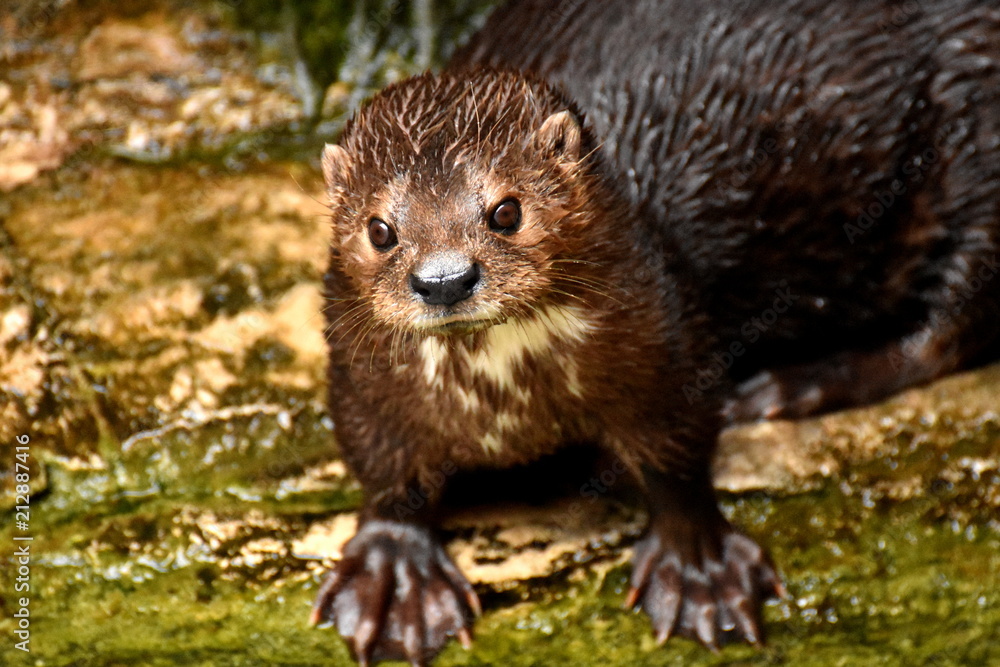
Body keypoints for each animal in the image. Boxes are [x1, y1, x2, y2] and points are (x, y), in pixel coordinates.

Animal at [310, 0, 1000, 664]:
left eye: (506, 211)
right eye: (380, 229)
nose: (445, 279)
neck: (508, 402)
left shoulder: (668, 339)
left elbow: (679, 452)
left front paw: (699, 570)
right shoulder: (362, 381)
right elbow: (382, 464)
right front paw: (394, 573)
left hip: (975, 143)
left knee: (946, 331)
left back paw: (795, 385)